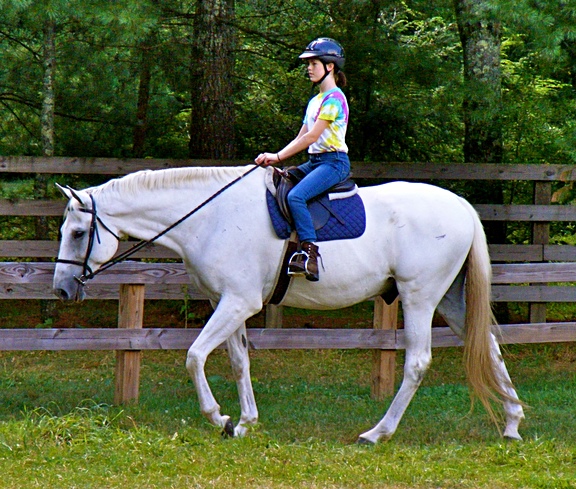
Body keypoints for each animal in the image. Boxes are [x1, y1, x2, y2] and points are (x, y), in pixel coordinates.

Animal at [51, 165, 524, 442]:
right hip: (451, 299)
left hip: (419, 297)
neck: (210, 217)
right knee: (490, 349)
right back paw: (513, 424)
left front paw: (218, 417)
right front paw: (244, 422)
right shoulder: (227, 303)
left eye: (78, 232)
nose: (61, 290)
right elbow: (238, 361)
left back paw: (377, 433)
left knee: (418, 362)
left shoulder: (237, 302)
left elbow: (194, 356)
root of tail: (461, 206)